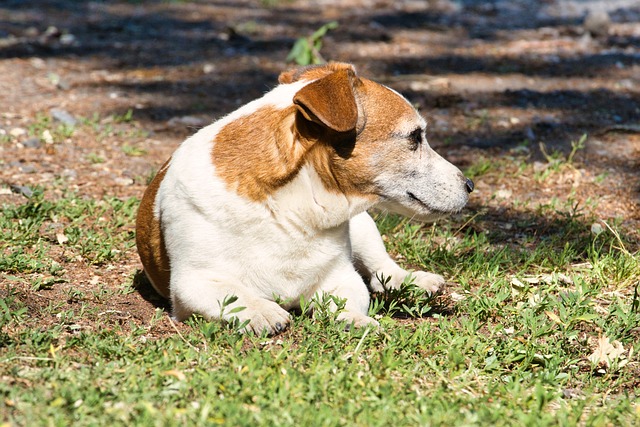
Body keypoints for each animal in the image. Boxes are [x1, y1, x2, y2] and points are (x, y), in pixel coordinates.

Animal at [136, 63, 476, 336]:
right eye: (415, 137)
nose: (470, 185)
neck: (292, 205)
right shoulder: (192, 284)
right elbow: (234, 295)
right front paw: (262, 310)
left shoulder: (342, 277)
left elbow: (351, 297)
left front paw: (354, 319)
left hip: (364, 227)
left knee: (381, 269)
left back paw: (414, 279)